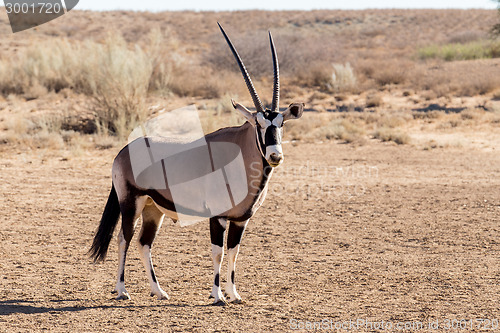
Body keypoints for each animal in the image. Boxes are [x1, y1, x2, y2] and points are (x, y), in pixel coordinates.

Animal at [90, 22, 304, 304]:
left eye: (281, 124)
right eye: (258, 124)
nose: (275, 156)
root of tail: (122, 152)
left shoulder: (240, 220)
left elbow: (234, 252)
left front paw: (234, 294)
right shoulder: (218, 217)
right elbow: (218, 252)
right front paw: (217, 295)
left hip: (153, 209)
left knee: (143, 243)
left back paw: (159, 291)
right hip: (131, 202)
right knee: (123, 239)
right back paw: (122, 290)